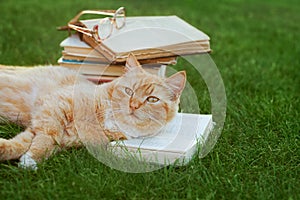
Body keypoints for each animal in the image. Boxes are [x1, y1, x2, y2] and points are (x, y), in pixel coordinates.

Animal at [0, 54, 186, 170]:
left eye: (152, 99)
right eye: (129, 91)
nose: (133, 105)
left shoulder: (56, 136)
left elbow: (22, 143)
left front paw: (24, 157)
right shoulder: (54, 109)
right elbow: (47, 136)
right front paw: (32, 157)